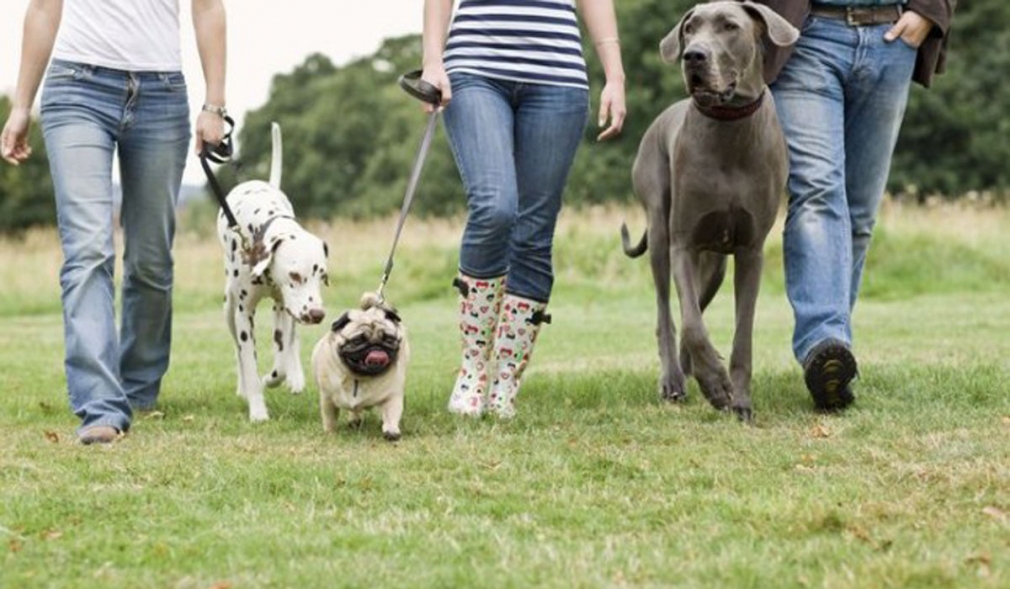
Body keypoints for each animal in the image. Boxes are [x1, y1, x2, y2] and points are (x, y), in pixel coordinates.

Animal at [218, 122, 331, 422]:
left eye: (321, 276)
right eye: (295, 275)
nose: (317, 314)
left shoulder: (283, 307)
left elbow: (280, 358)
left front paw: (274, 378)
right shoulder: (244, 313)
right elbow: (247, 361)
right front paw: (257, 408)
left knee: (292, 342)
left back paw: (296, 377)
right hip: (229, 309)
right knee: (236, 351)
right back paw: (243, 388)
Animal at [309, 292, 408, 440]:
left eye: (389, 340)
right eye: (357, 341)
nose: (376, 346)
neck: (359, 377)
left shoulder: (392, 396)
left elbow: (391, 413)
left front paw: (391, 431)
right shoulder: (327, 399)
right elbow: (329, 418)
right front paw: (330, 434)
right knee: (354, 410)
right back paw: (354, 420)